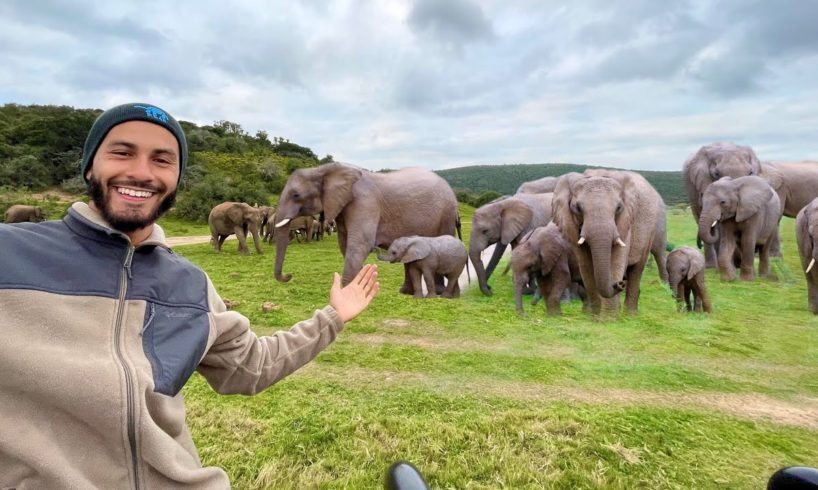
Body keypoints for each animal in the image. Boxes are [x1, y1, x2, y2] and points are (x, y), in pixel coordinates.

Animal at [273, 163, 460, 288]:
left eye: (296, 195)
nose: (289, 275)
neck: (322, 169)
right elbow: (345, 245)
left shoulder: (364, 202)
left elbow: (359, 244)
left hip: (446, 214)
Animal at [552, 169, 665, 316]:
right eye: (577, 208)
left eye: (618, 208)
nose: (619, 284)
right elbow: (586, 267)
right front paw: (594, 317)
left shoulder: (625, 221)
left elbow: (616, 261)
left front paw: (608, 318)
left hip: (651, 228)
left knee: (637, 269)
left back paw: (630, 315)